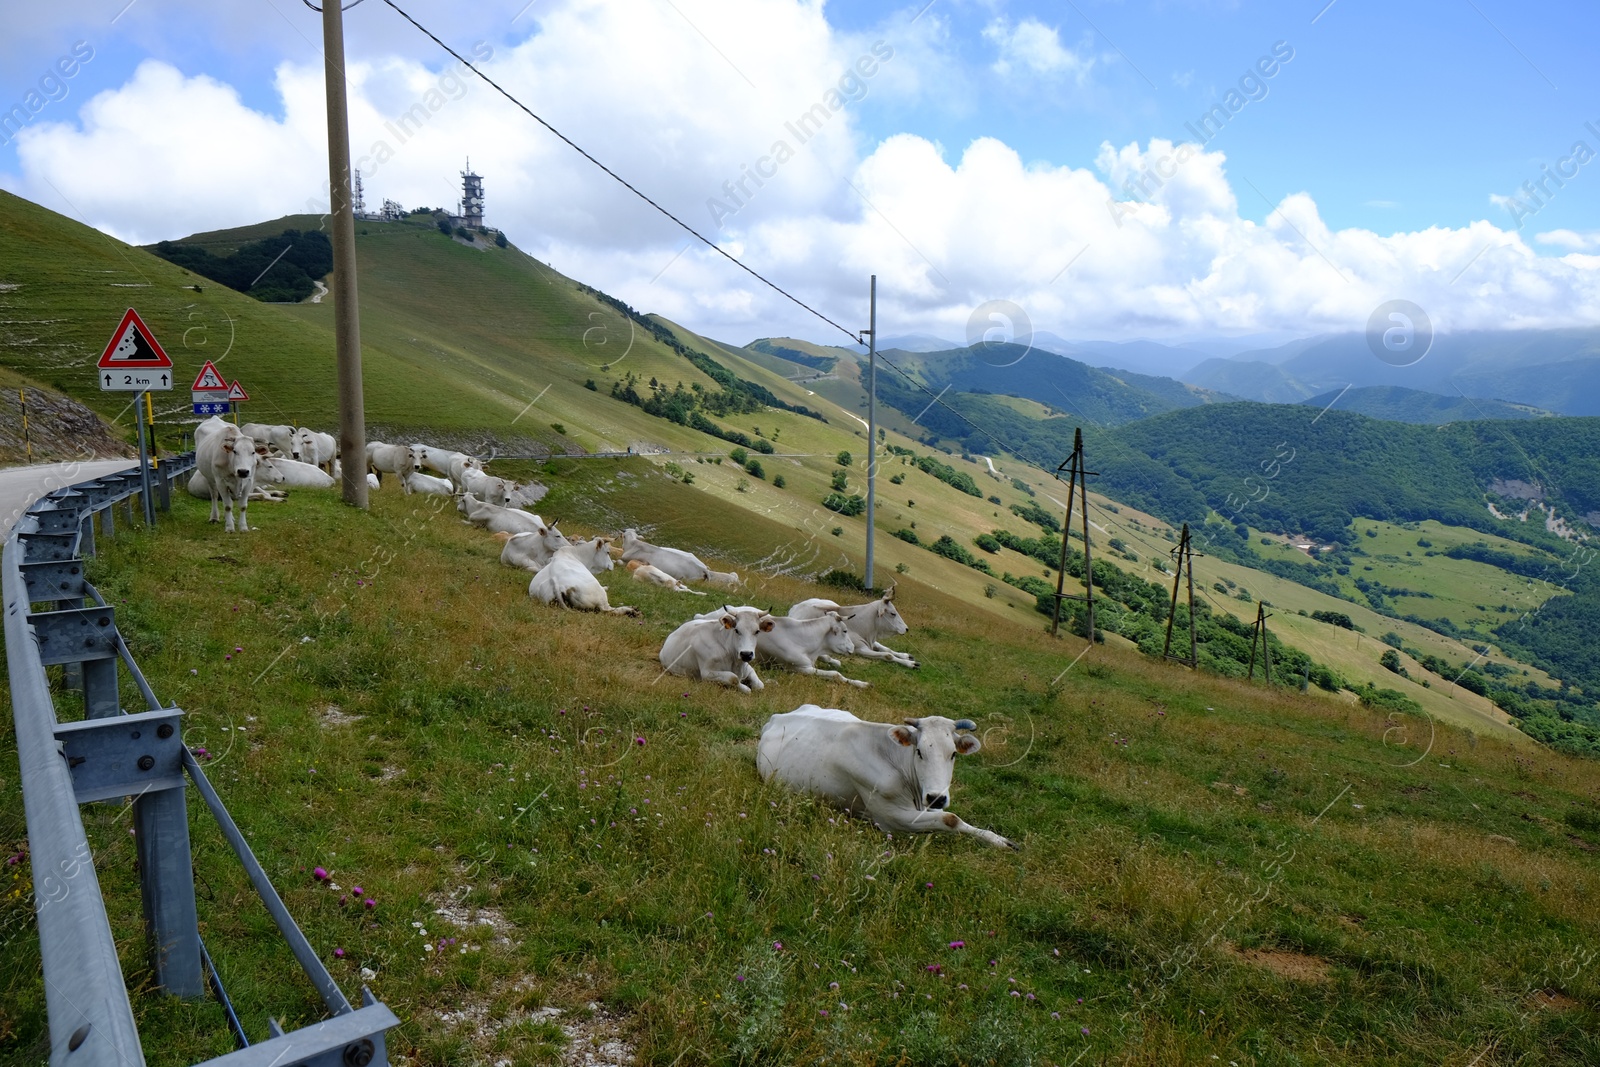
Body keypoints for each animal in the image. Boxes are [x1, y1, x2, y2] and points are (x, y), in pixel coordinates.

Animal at [758, 710, 1011, 851]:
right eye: (919, 751)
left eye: (953, 754)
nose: (936, 798)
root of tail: (776, 717)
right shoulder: (892, 819)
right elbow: (950, 818)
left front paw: (999, 840)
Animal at [790, 585, 921, 668]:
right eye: (893, 613)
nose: (906, 628)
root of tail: (796, 606)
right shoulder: (860, 649)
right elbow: (887, 655)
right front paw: (910, 664)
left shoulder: (870, 641)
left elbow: (887, 649)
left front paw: (905, 657)